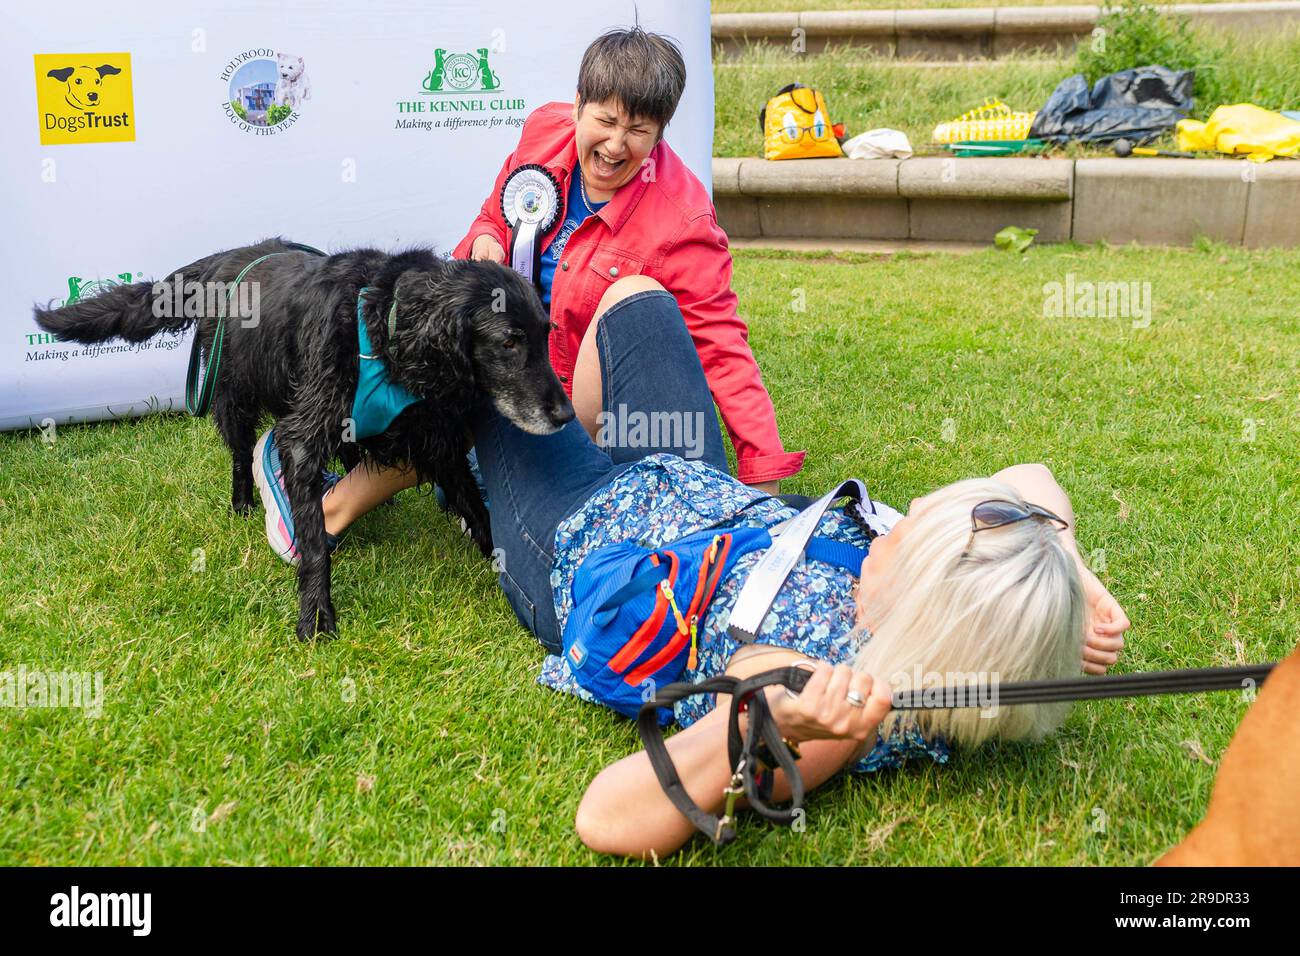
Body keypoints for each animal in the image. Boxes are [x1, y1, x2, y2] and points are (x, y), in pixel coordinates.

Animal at [36, 238, 574, 639]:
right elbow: (314, 538)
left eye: (545, 333)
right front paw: (316, 611)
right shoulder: (306, 434)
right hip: (233, 391)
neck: (385, 327)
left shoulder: (435, 440)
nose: (567, 413)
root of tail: (225, 260)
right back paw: (243, 501)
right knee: (240, 453)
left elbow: (478, 508)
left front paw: (501, 561)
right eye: (509, 341)